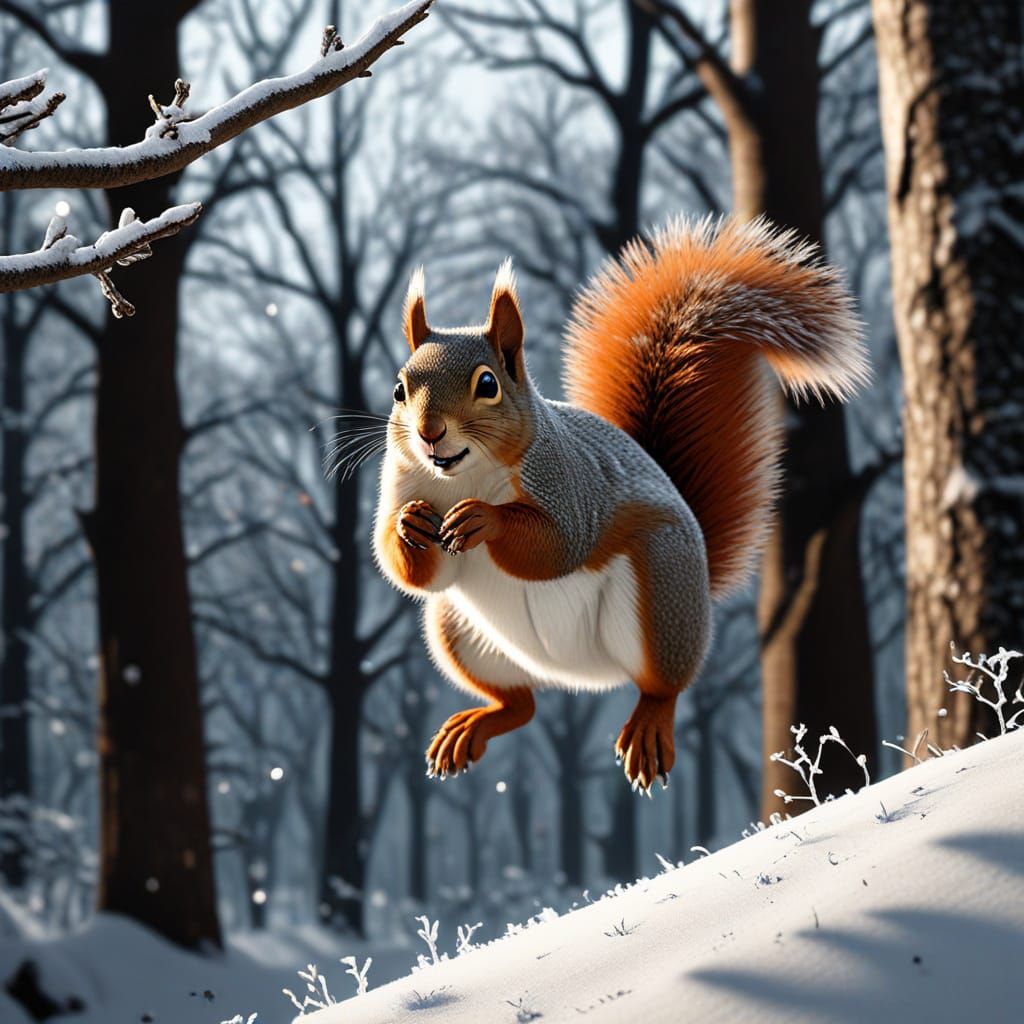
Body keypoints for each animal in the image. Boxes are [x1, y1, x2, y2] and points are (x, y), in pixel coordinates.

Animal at [373, 215, 867, 793]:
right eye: (400, 390)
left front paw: (484, 519)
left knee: (662, 685)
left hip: (661, 590)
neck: (458, 477)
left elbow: (556, 546)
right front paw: (408, 526)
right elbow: (418, 574)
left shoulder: (569, 483)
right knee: (521, 705)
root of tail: (578, 676)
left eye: (488, 384)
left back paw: (649, 727)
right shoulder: (403, 482)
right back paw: (475, 724)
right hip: (455, 630)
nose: (429, 432)